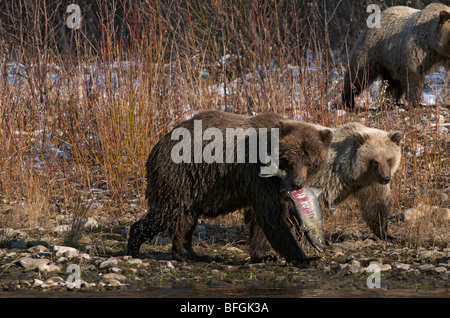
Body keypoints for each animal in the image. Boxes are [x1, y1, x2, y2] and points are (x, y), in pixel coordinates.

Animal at [248, 121, 402, 260]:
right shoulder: (322, 179)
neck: (351, 172)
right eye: (374, 161)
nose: (386, 178)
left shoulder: (370, 183)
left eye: (389, 159)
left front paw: (385, 234)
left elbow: (376, 205)